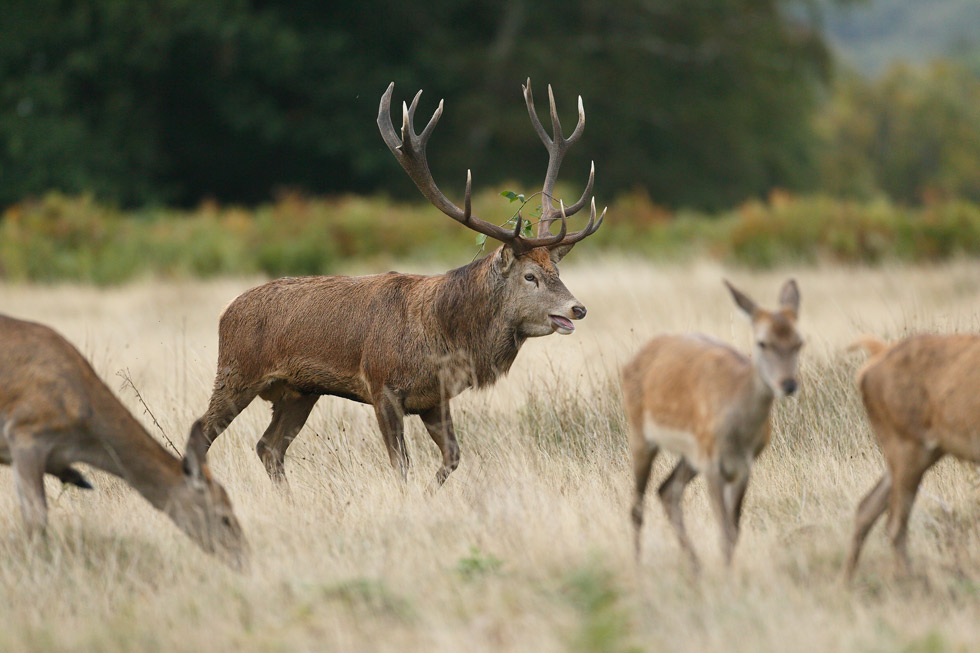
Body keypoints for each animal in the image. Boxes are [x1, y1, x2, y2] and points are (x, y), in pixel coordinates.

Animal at [197, 77, 604, 484]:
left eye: (557, 273)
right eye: (530, 276)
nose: (578, 308)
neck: (443, 336)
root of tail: (225, 312)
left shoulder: (435, 398)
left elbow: (452, 457)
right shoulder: (382, 386)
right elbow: (401, 464)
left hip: (299, 391)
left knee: (269, 447)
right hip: (236, 371)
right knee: (202, 433)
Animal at [624, 280, 800, 572]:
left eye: (799, 342)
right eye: (762, 342)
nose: (788, 384)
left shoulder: (744, 465)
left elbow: (734, 530)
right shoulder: (712, 463)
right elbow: (724, 529)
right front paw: (726, 575)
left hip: (691, 454)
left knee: (667, 490)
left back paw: (696, 566)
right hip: (641, 434)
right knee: (637, 506)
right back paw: (638, 566)